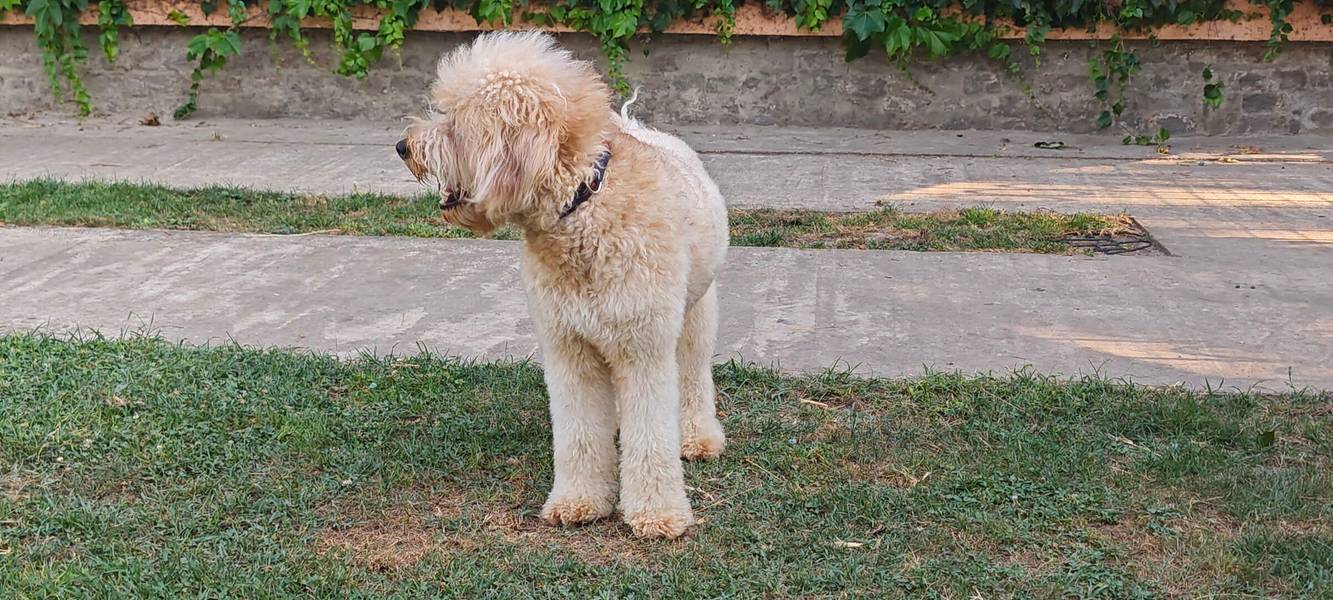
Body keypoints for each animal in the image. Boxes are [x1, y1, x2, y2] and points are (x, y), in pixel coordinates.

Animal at [394, 31, 730, 538]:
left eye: (454, 120)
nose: (403, 146)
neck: (582, 209)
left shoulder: (644, 348)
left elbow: (652, 435)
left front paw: (657, 514)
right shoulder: (569, 348)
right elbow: (579, 434)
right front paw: (579, 501)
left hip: (694, 315)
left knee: (692, 377)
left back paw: (697, 437)